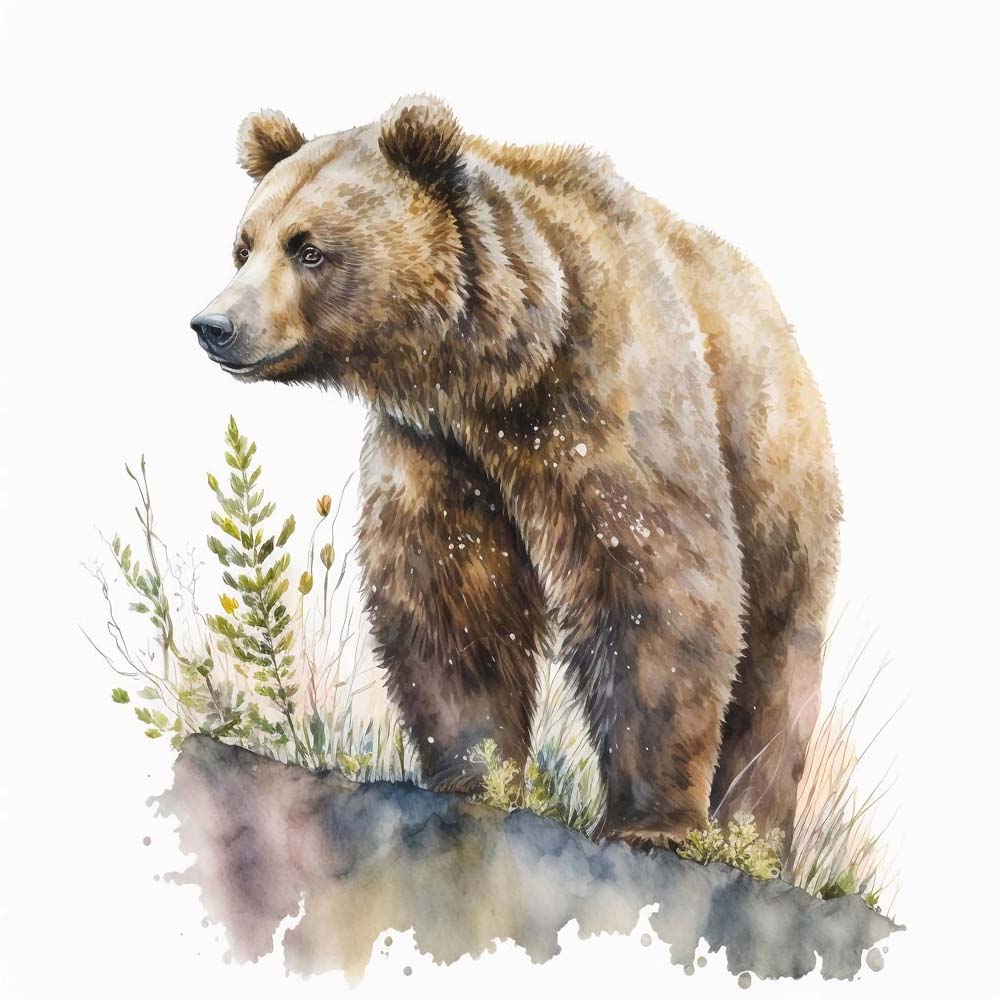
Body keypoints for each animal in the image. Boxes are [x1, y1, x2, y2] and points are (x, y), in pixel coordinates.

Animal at [191, 96, 841, 849]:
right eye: (244, 244)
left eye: (309, 248)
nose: (214, 325)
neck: (500, 367)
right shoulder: (440, 449)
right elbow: (449, 594)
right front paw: (473, 774)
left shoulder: (603, 400)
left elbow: (656, 580)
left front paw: (648, 822)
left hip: (773, 466)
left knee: (775, 655)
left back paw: (750, 835)